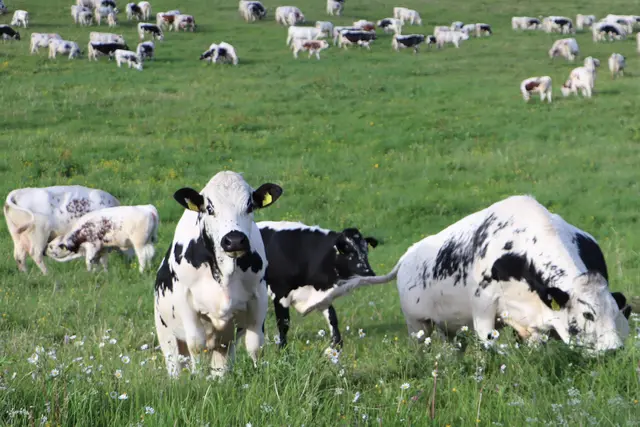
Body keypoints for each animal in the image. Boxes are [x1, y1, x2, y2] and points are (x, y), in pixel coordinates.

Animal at [153, 171, 283, 378]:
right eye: (209, 208)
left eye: (250, 206)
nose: (235, 240)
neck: (225, 272)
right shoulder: (185, 299)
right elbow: (196, 345)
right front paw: (198, 379)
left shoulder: (259, 296)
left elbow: (255, 345)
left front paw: (259, 375)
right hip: (166, 333)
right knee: (176, 363)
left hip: (224, 340)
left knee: (220, 364)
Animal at [304, 195, 631, 354]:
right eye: (587, 314)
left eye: (617, 312)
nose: (614, 350)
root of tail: (407, 257)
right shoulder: (484, 308)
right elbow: (492, 346)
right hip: (417, 325)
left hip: (447, 328)